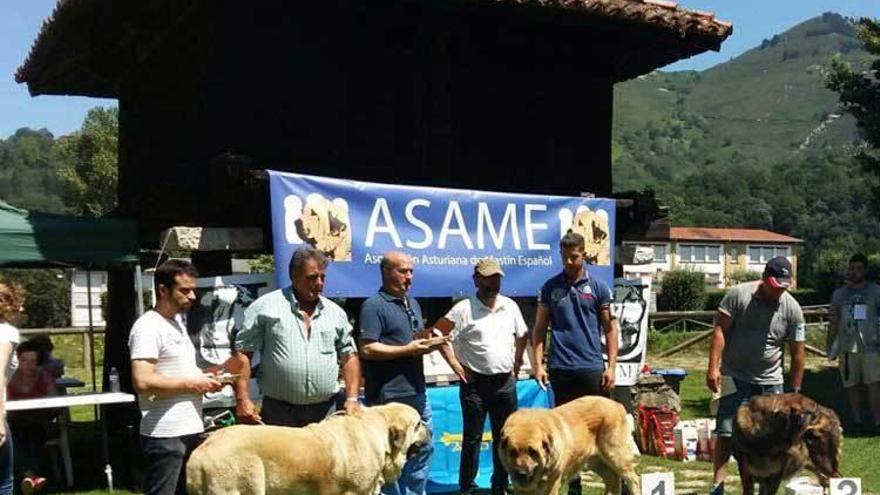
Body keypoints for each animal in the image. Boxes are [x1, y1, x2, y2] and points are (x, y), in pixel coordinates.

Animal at [498, 398, 636, 495]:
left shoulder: (551, 485)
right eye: (513, 452)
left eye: (533, 452)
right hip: (597, 463)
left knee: (633, 480)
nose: (521, 473)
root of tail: (617, 404)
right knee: (613, 480)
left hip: (617, 457)